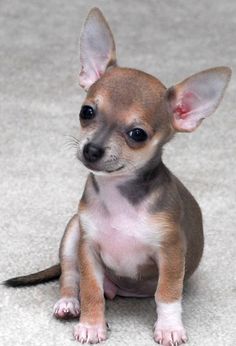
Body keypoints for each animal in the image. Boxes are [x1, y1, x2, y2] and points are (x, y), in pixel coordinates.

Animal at [4, 6, 231, 346]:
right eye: (86, 112)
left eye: (138, 134)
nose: (92, 149)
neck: (119, 197)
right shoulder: (88, 250)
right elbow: (91, 289)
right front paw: (92, 324)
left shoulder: (171, 252)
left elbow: (167, 293)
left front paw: (169, 327)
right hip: (73, 232)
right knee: (70, 275)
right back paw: (69, 302)